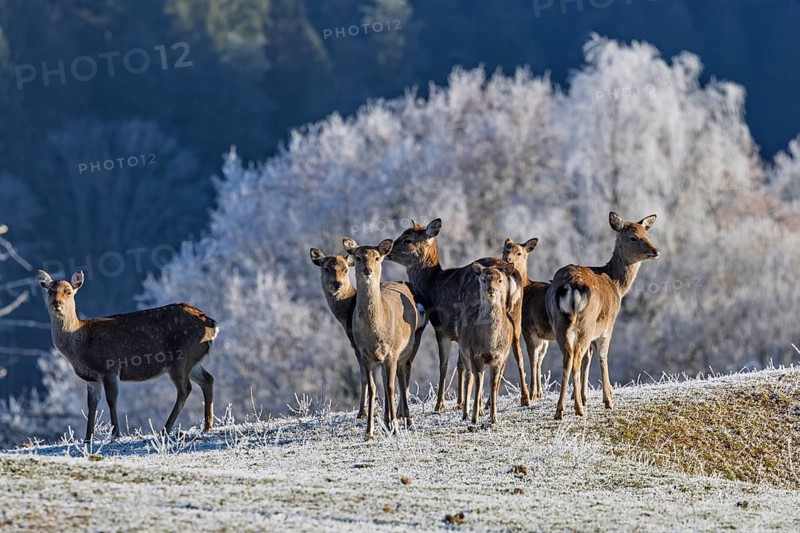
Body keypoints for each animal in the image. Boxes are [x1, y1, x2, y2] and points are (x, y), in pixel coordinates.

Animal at [37, 270, 217, 442]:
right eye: (50, 291)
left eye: (68, 291)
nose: (57, 303)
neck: (80, 345)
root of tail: (213, 324)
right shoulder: (92, 378)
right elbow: (91, 404)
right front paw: (87, 439)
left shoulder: (109, 368)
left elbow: (111, 400)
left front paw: (115, 434)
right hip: (193, 360)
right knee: (207, 379)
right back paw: (207, 426)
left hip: (181, 358)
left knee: (185, 388)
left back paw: (165, 430)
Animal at [308, 248, 367, 419]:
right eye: (326, 268)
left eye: (346, 269)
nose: (337, 283)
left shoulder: (357, 343)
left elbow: (364, 377)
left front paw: (362, 413)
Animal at [342, 238, 428, 440]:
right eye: (358, 257)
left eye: (377, 257)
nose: (368, 270)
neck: (375, 334)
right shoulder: (364, 354)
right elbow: (373, 388)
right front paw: (369, 431)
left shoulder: (392, 352)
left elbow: (390, 387)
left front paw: (396, 428)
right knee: (388, 377)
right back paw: (387, 422)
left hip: (409, 347)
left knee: (402, 376)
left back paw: (407, 421)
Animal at [458, 262, 517, 425]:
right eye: (483, 279)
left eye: (500, 280)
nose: (492, 290)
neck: (489, 342)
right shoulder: (475, 354)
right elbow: (478, 384)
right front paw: (474, 419)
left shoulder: (499, 357)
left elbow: (493, 385)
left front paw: (494, 418)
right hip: (463, 351)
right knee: (469, 377)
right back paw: (466, 414)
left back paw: (480, 411)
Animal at [546, 212, 660, 420]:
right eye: (633, 237)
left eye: (647, 234)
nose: (655, 251)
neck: (617, 286)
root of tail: (571, 285)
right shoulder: (608, 325)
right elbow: (602, 357)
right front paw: (608, 400)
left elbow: (588, 358)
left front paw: (584, 397)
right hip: (585, 323)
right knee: (575, 358)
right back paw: (578, 409)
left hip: (560, 324)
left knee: (568, 359)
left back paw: (560, 410)